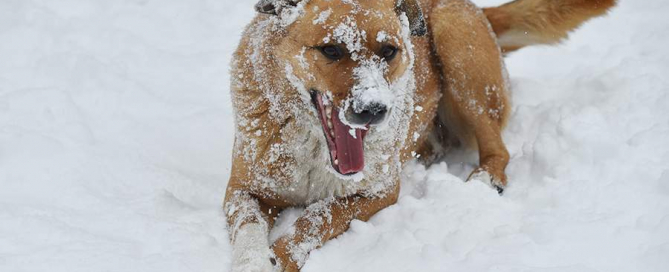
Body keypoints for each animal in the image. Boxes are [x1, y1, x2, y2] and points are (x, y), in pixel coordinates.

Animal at [226, 1, 616, 270]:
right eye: (331, 50)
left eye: (389, 51)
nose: (374, 110)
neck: (316, 150)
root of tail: (480, 10)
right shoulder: (242, 190)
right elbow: (248, 227)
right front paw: (254, 261)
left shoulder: (379, 191)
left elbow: (314, 218)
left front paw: (279, 257)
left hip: (455, 44)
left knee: (498, 147)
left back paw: (485, 177)